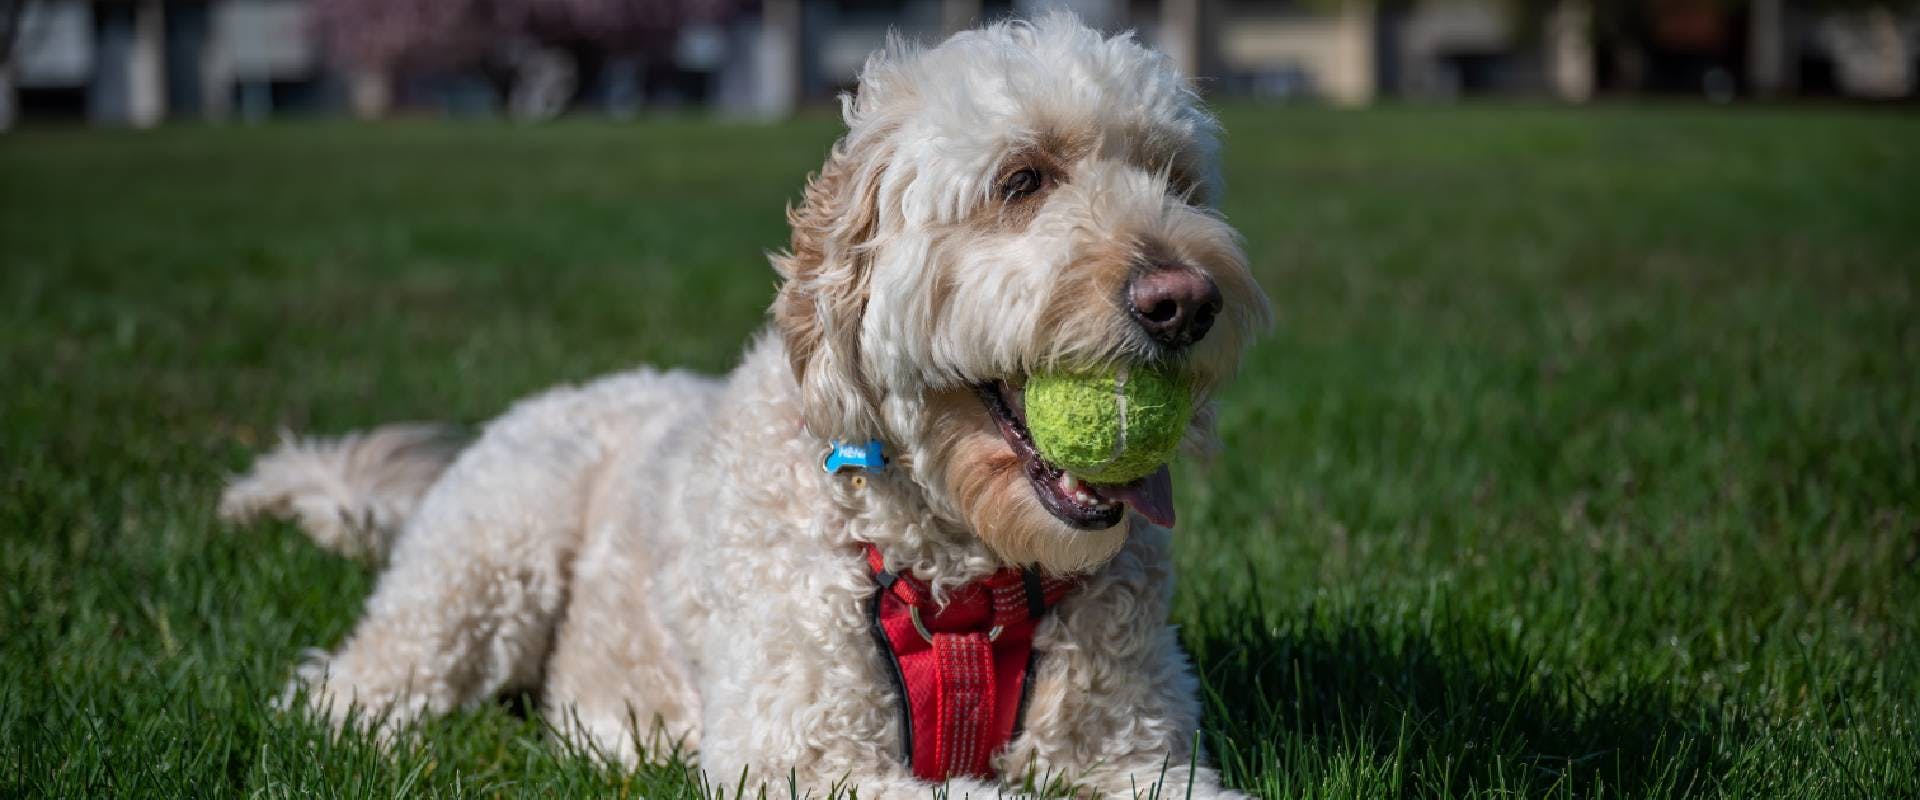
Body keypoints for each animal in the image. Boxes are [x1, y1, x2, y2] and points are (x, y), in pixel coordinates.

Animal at [224, 14, 1267, 798]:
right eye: (1022, 180)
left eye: (1177, 179)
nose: (1186, 302)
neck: (966, 576)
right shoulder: (802, 758)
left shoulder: (1136, 748)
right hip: (486, 565)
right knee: (338, 694)